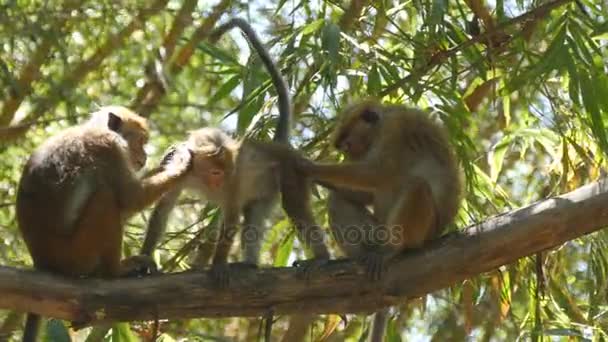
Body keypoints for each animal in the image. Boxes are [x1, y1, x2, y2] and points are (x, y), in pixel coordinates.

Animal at [16, 105, 192, 340]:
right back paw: (114, 272)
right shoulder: (109, 147)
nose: (144, 156)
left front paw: (167, 160)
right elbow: (130, 198)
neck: (97, 129)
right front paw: (181, 165)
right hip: (76, 255)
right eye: (141, 141)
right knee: (105, 197)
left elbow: (127, 204)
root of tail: (41, 262)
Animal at [296, 99, 464, 342]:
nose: (348, 156)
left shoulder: (396, 129)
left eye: (347, 145)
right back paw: (352, 258)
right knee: (339, 200)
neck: (381, 124)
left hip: (420, 231)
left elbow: (377, 171)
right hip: (376, 233)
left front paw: (308, 167)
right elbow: (363, 193)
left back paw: (393, 250)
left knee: (417, 186)